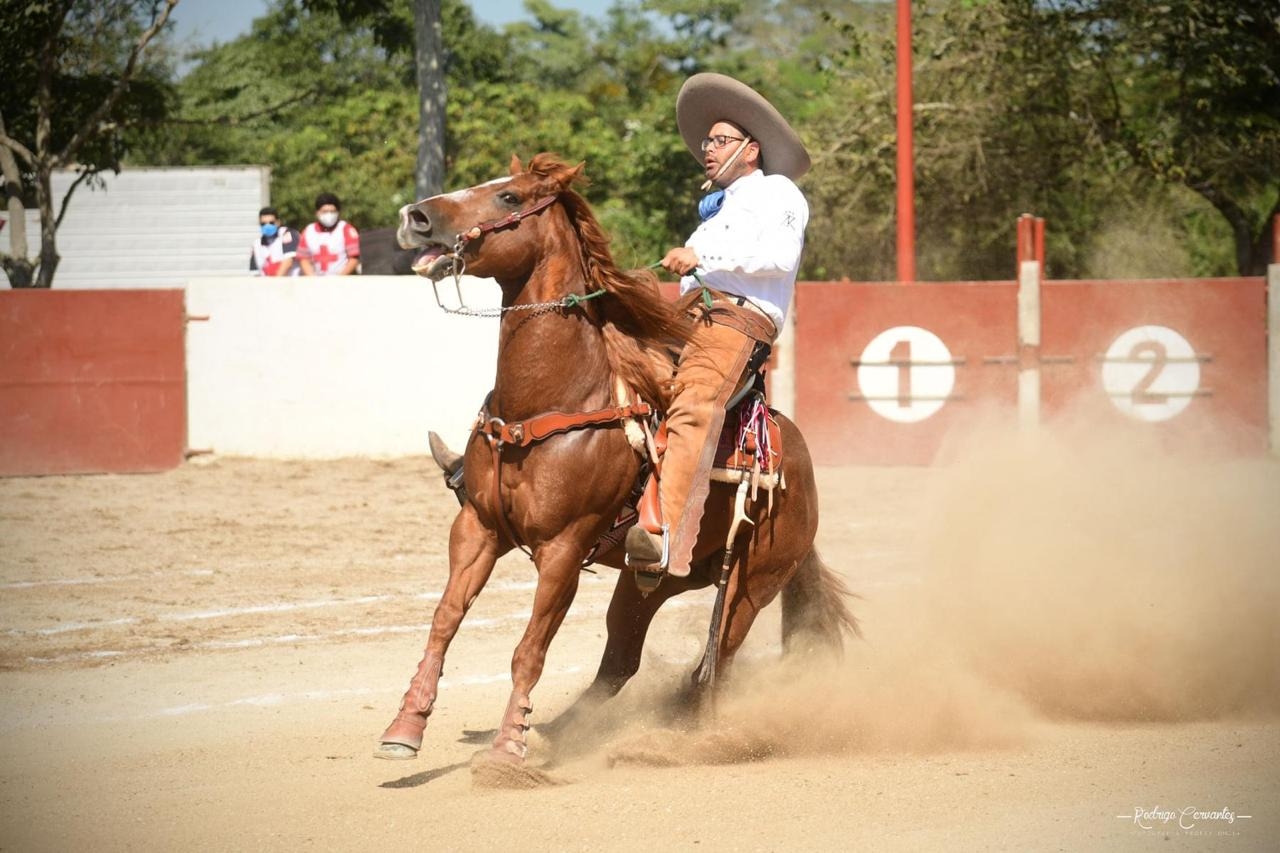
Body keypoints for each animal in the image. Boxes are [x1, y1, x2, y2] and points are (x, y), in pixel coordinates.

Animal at [378, 151, 860, 763]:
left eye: (510, 197)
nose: (415, 217)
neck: (552, 399)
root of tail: (798, 466)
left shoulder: (563, 548)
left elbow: (529, 649)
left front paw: (508, 750)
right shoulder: (477, 528)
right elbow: (443, 622)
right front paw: (406, 728)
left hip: (752, 586)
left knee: (714, 666)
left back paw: (687, 737)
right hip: (648, 579)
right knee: (620, 664)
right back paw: (562, 732)